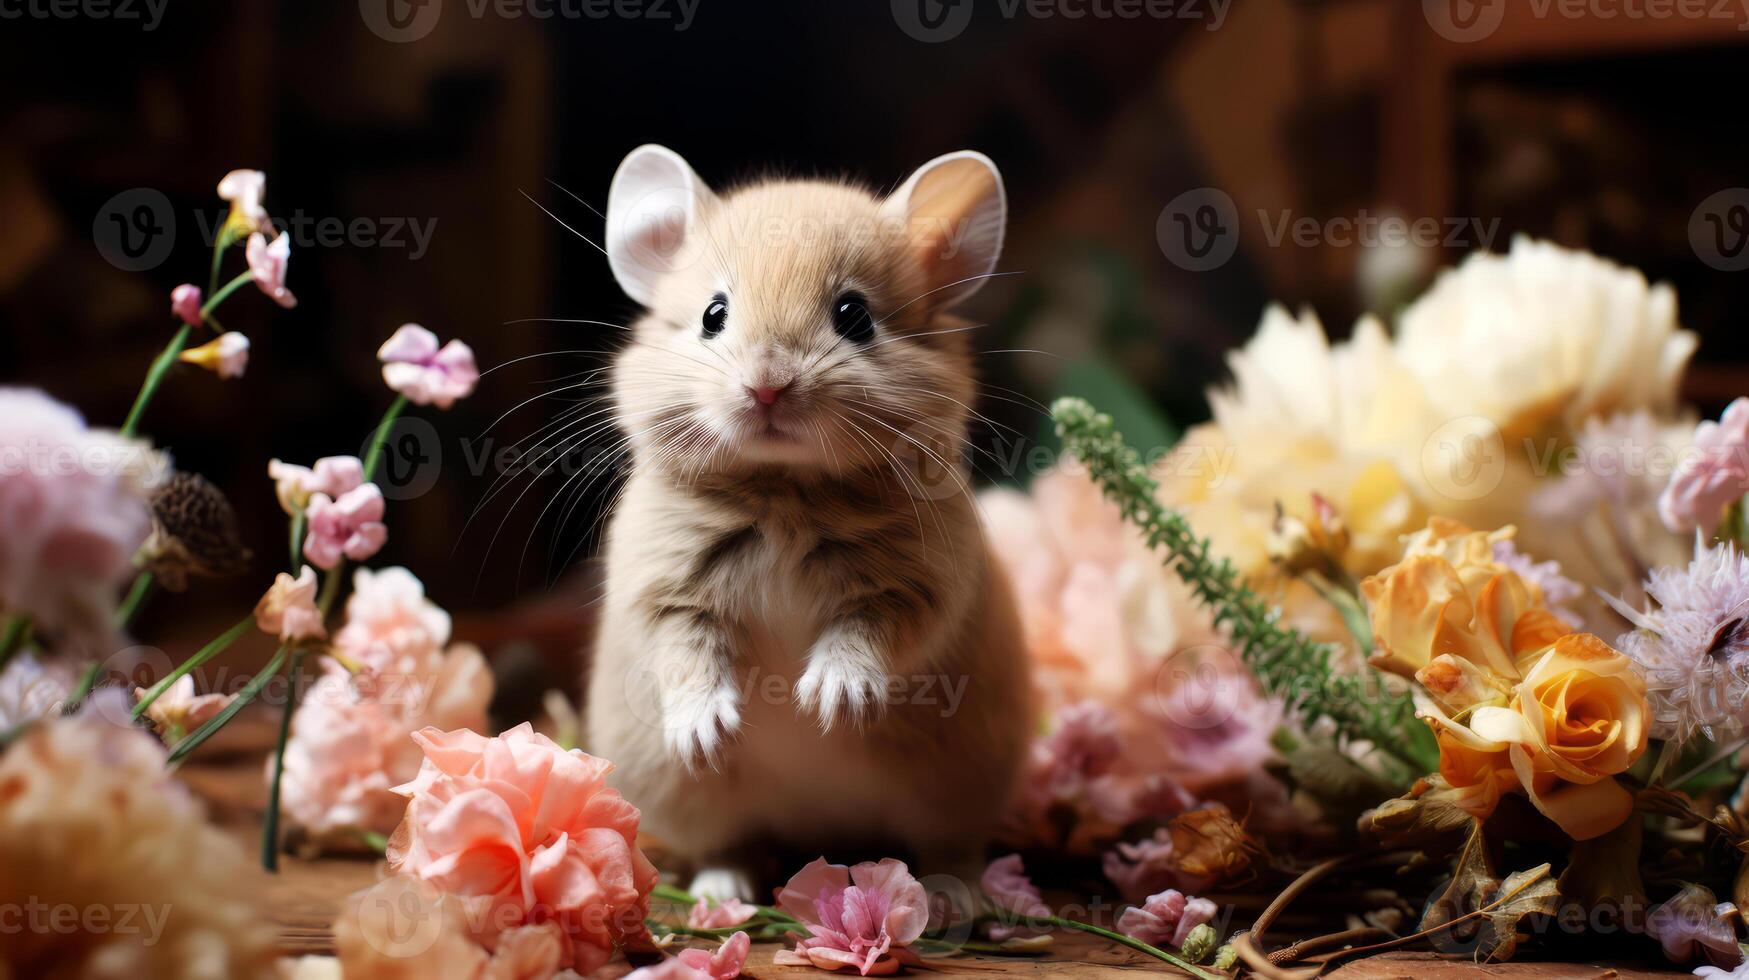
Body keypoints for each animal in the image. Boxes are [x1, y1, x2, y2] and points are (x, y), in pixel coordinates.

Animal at [580, 141, 1028, 903]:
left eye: (854, 315)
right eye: (713, 314)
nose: (767, 386)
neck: (782, 489)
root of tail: (816, 829)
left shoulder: (919, 588)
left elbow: (868, 634)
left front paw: (827, 702)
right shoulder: (665, 592)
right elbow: (686, 652)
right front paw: (710, 730)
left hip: (956, 787)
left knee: (951, 847)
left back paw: (956, 894)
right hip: (686, 797)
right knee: (724, 842)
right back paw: (722, 893)